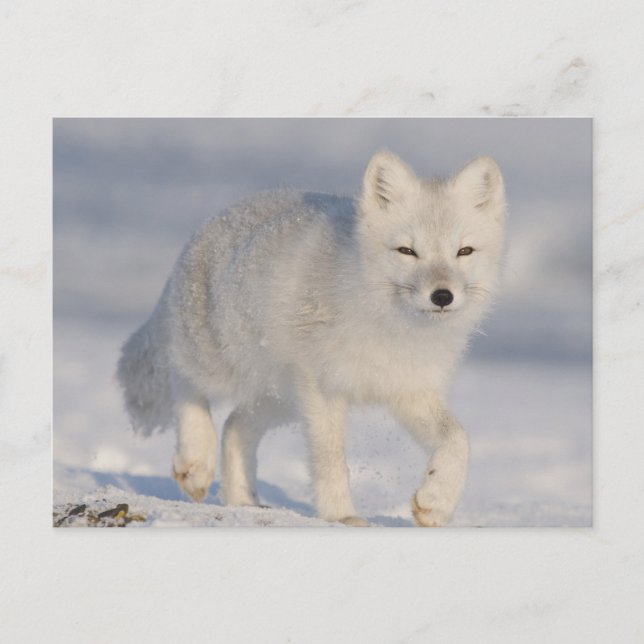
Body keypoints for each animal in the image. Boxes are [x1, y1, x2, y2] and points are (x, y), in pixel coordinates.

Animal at [117, 151, 506, 527]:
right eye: (407, 251)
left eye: (464, 251)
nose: (442, 296)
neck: (392, 326)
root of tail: (212, 222)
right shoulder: (324, 388)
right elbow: (331, 460)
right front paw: (341, 516)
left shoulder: (409, 390)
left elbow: (458, 440)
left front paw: (436, 503)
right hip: (221, 362)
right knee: (182, 378)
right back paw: (196, 462)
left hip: (283, 398)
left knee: (235, 425)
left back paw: (241, 501)